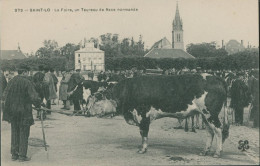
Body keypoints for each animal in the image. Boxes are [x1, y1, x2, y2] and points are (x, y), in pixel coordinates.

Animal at [86, 74, 230, 158]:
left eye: (97, 99)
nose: (86, 112)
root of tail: (216, 77)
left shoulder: (143, 115)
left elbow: (144, 133)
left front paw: (143, 149)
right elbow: (142, 134)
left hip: (211, 113)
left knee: (218, 130)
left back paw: (217, 152)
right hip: (204, 115)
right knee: (210, 132)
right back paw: (205, 151)